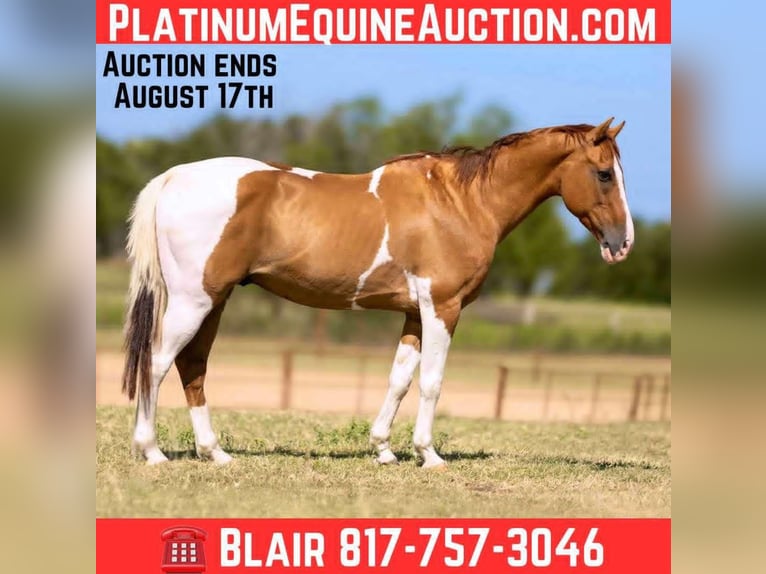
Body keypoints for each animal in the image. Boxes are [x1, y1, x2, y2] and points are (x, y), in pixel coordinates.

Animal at [122, 117, 634, 466]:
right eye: (604, 173)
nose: (622, 243)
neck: (460, 202)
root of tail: (174, 177)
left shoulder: (414, 313)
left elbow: (399, 379)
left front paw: (384, 448)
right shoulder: (442, 307)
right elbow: (431, 381)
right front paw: (428, 454)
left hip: (214, 301)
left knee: (192, 367)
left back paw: (215, 453)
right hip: (194, 300)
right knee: (158, 362)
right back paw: (152, 451)